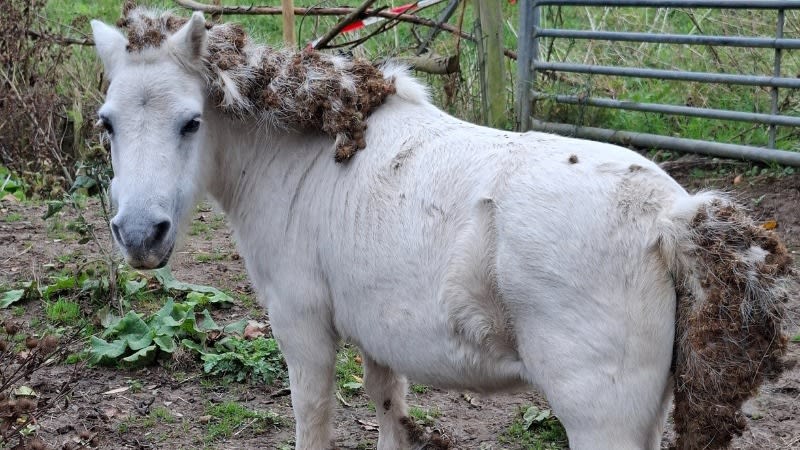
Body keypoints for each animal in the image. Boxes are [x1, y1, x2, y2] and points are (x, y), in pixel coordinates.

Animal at [91, 6, 795, 450]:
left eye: (191, 122)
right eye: (107, 123)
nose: (140, 235)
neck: (303, 156)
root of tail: (667, 218)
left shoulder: (303, 329)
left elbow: (311, 421)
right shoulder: (379, 339)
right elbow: (389, 415)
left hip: (605, 422)